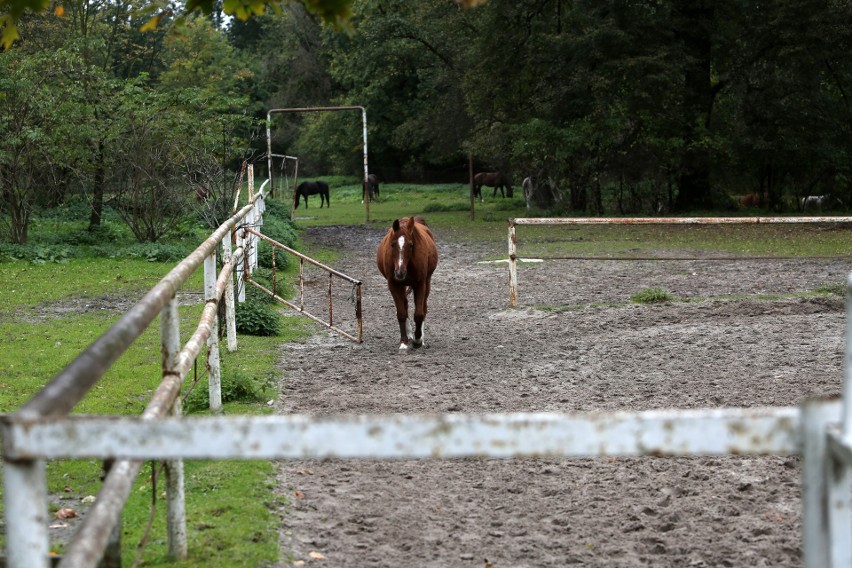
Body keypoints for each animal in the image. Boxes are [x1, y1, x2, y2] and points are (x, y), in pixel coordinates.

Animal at [374, 216, 440, 350]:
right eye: (392, 244)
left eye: (410, 245)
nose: (400, 272)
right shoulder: (394, 285)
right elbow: (401, 313)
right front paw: (404, 342)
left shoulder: (420, 284)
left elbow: (419, 313)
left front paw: (418, 340)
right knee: (405, 305)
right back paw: (409, 334)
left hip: (427, 282)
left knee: (424, 307)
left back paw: (420, 338)